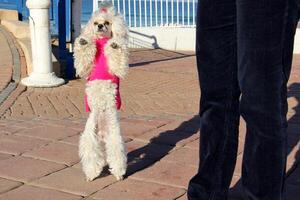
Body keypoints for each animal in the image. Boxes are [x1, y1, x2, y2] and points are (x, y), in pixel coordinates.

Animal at [73, 1, 129, 182]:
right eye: (95, 22)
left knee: (115, 155)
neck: (102, 41)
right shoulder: (85, 69)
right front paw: (84, 41)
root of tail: (103, 132)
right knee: (93, 155)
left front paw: (115, 44)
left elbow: (117, 57)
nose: (99, 26)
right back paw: (92, 173)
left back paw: (118, 173)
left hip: (114, 136)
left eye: (107, 23)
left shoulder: (118, 68)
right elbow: (83, 61)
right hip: (90, 135)